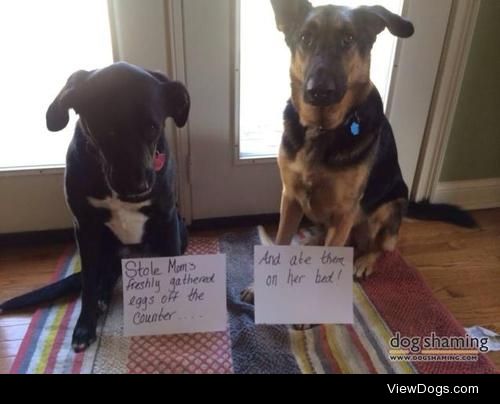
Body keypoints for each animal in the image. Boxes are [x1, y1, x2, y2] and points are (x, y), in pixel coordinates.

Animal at [0, 62, 190, 350]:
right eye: (104, 127)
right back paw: (102, 297)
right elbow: (87, 284)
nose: (137, 186)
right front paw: (84, 325)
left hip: (179, 228)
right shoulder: (85, 229)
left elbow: (172, 269)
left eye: (152, 127)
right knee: (105, 274)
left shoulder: (167, 219)